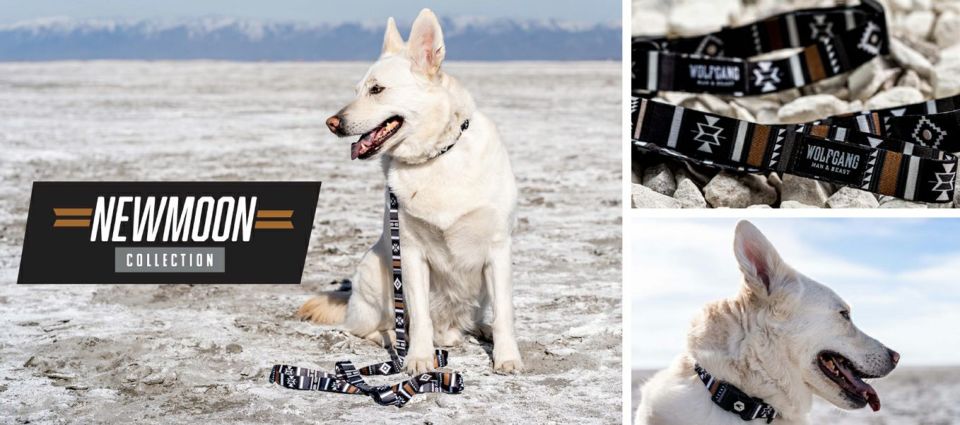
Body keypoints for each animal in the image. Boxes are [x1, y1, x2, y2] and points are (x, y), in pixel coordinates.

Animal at [296, 9, 522, 375]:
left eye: (377, 89)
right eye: (357, 90)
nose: (332, 123)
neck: (436, 157)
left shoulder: (498, 248)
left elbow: (505, 313)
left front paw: (507, 356)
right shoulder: (412, 253)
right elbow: (417, 317)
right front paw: (418, 358)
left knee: (475, 320)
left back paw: (480, 329)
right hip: (373, 270)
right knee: (371, 328)